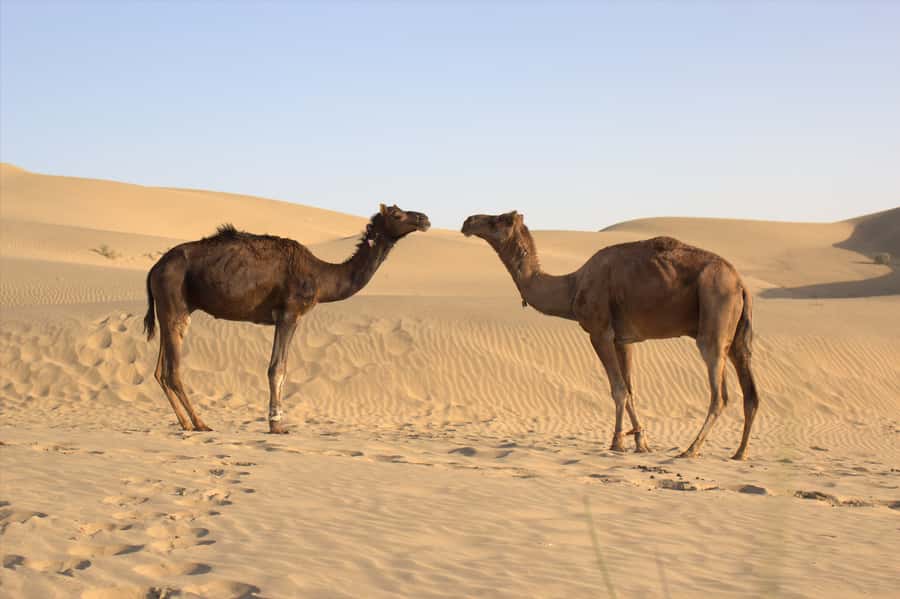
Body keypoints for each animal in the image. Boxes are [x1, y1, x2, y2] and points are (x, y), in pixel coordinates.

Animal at [144, 204, 430, 433]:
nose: (424, 218)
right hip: (176, 302)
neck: (321, 277)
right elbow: (277, 368)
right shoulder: (290, 314)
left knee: (159, 371)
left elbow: (280, 367)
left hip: (169, 310)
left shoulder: (285, 317)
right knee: (173, 370)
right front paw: (277, 424)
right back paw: (200, 423)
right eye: (397, 214)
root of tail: (154, 268)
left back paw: (185, 422)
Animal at [462, 211, 760, 459]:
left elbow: (617, 389)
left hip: (714, 312)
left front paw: (617, 442)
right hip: (736, 336)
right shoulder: (623, 340)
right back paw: (740, 453)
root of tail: (741, 283)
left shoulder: (600, 332)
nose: (468, 221)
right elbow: (630, 390)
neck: (573, 286)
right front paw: (641, 443)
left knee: (719, 394)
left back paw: (690, 450)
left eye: (497, 220)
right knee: (750, 393)